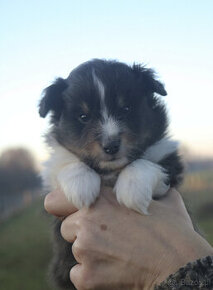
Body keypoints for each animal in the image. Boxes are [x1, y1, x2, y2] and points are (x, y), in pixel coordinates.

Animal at [39, 59, 183, 288]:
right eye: (83, 116)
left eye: (126, 108)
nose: (111, 145)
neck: (110, 171)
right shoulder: (52, 176)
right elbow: (65, 161)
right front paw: (81, 187)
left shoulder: (168, 160)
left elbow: (145, 163)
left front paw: (132, 190)